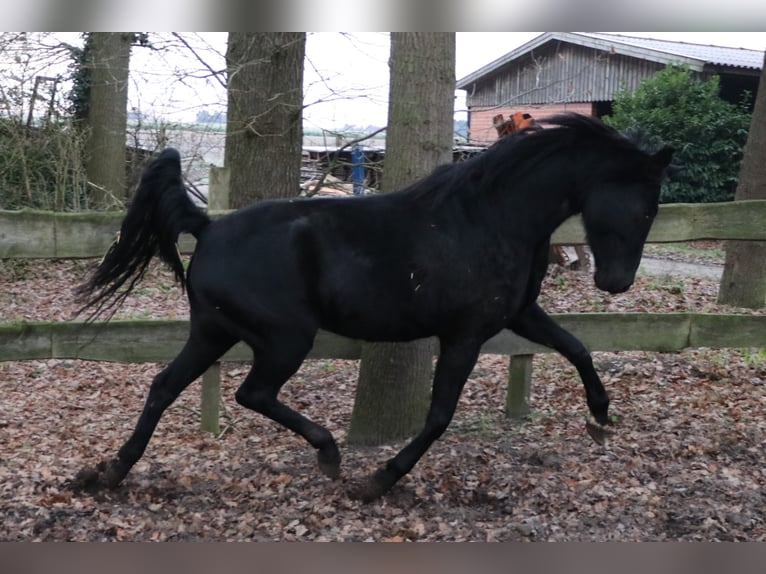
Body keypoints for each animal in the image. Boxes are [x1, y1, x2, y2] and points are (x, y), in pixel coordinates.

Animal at [72, 115, 672, 502]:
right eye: (646, 206)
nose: (617, 283)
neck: (490, 216)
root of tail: (208, 226)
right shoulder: (466, 334)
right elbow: (439, 415)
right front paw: (380, 480)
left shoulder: (520, 315)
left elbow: (577, 347)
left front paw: (600, 417)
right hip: (287, 338)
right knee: (252, 393)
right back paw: (331, 457)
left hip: (212, 331)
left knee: (164, 386)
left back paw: (109, 472)